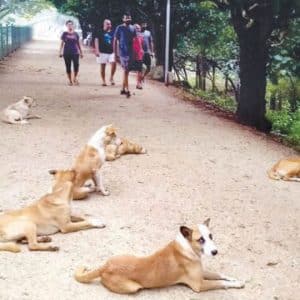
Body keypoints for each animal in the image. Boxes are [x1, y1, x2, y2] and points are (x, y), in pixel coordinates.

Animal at [74, 219, 244, 294]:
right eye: (200, 240)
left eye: (211, 236)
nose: (215, 252)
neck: (187, 248)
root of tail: (104, 267)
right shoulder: (198, 285)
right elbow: (220, 283)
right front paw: (237, 284)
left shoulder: (201, 272)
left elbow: (219, 274)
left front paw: (235, 278)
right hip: (133, 288)